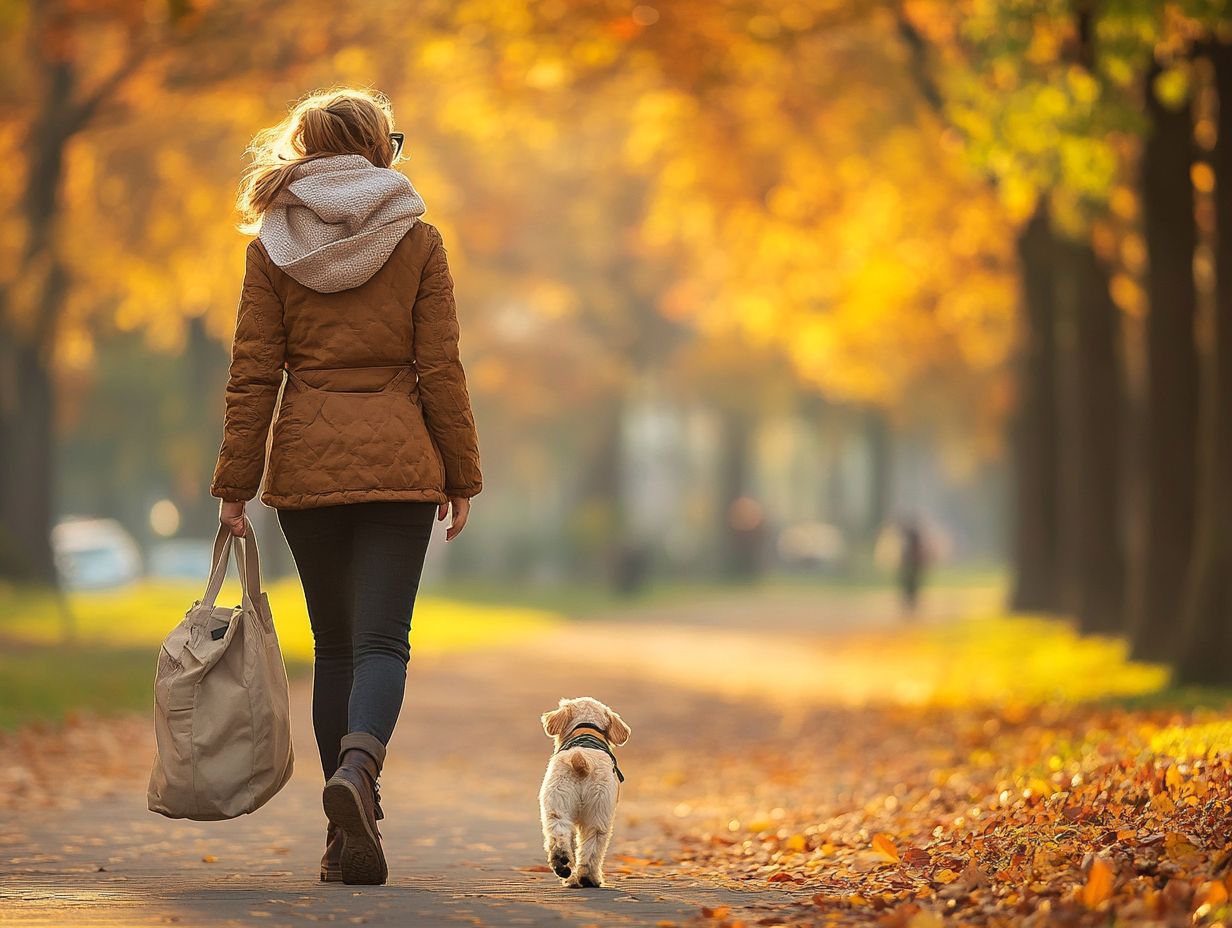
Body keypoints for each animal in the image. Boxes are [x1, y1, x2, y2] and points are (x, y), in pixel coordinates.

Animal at [542, 700, 635, 887]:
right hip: (599, 814)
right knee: (593, 847)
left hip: (557, 805)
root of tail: (581, 761)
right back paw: (589, 878)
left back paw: (563, 866)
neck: (586, 728)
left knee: (559, 835)